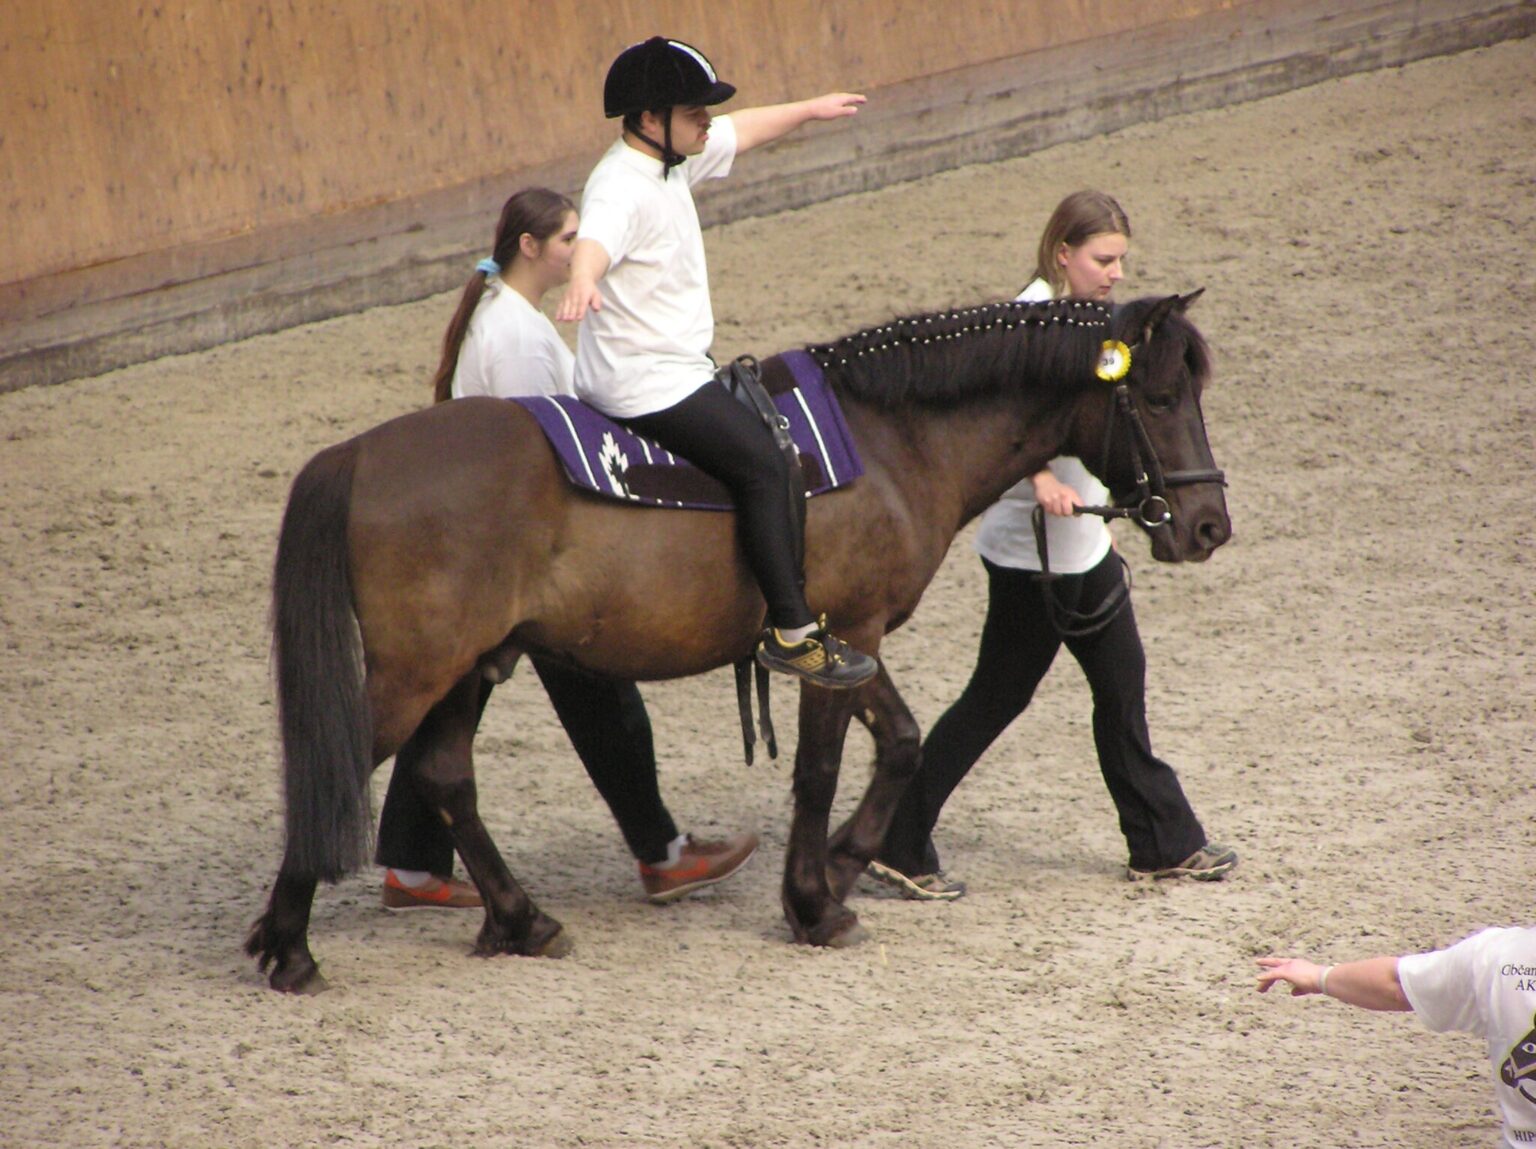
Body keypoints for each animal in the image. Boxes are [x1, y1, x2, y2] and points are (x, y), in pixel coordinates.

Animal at [246, 292, 1230, 993]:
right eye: (1159, 396)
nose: (1208, 524)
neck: (889, 439)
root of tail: (358, 455)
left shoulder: (847, 641)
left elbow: (901, 744)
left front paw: (840, 867)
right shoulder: (843, 635)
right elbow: (826, 768)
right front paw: (817, 898)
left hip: (469, 668)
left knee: (446, 775)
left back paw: (521, 920)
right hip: (419, 672)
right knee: (343, 768)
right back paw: (289, 946)